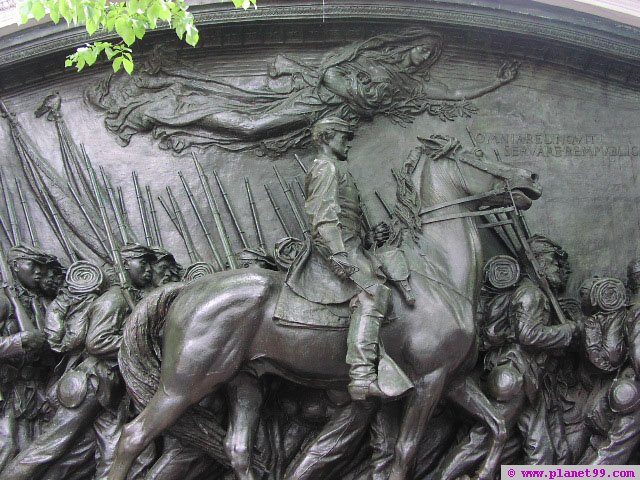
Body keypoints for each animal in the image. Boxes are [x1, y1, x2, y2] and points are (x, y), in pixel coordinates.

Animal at [107, 138, 544, 480]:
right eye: (477, 155)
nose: (532, 178)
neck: (437, 271)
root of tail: (188, 288)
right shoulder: (429, 382)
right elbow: (405, 452)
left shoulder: (455, 380)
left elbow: (498, 425)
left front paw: (483, 471)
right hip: (184, 384)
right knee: (131, 438)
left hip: (244, 380)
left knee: (237, 449)